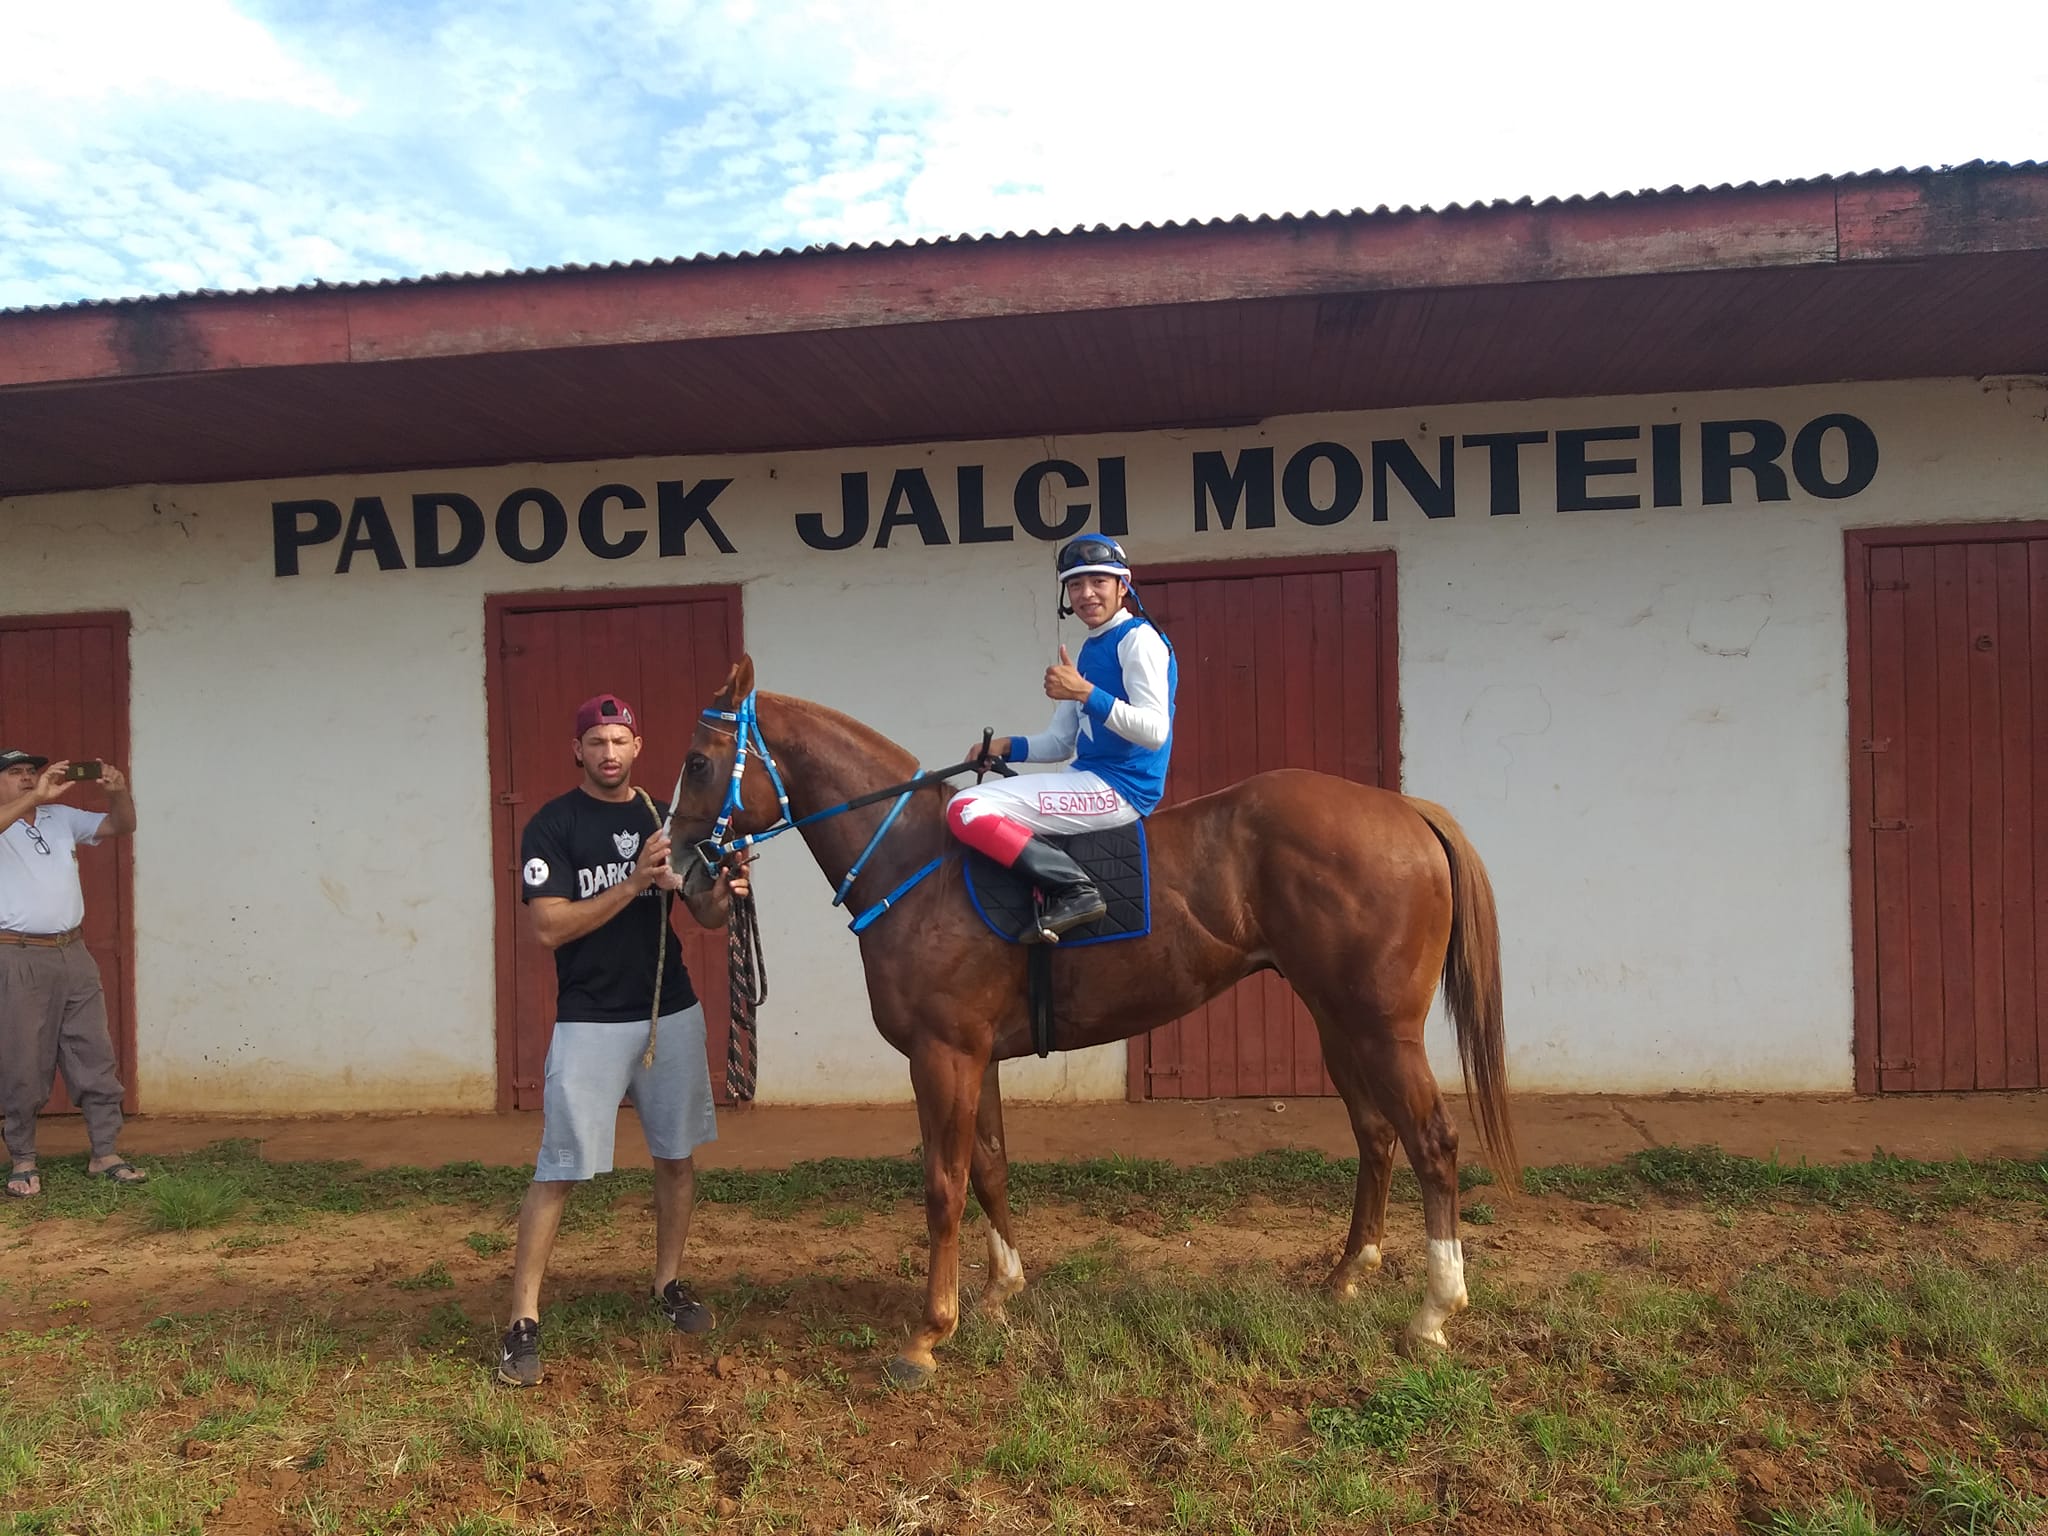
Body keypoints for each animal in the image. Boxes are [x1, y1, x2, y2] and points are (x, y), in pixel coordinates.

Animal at [675, 655, 1523, 1392]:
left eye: (698, 762)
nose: (682, 869)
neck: (916, 864)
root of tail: (1405, 809)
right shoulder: (975, 1055)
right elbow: (989, 1167)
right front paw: (1001, 1290)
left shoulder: (942, 1055)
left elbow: (943, 1184)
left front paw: (929, 1332)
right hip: (1338, 1024)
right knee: (1376, 1136)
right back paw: (1346, 1276)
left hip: (1383, 1030)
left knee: (1433, 1143)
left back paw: (1433, 1313)